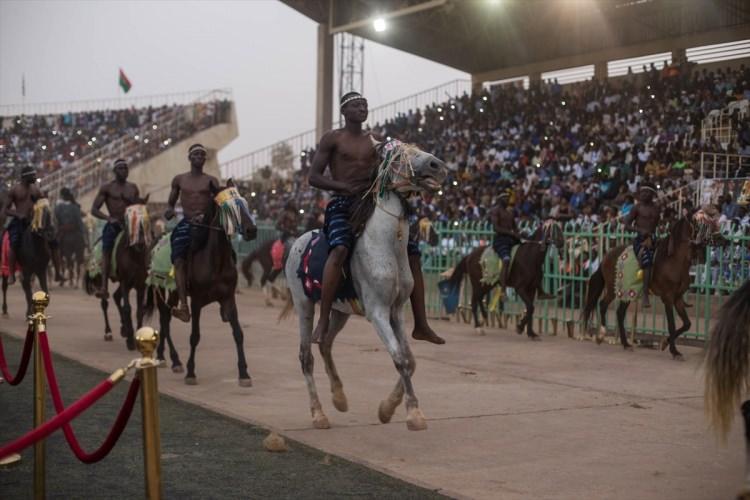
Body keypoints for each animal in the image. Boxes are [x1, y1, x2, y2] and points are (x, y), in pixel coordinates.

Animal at [147, 188, 258, 386]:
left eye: (245, 204)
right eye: (230, 209)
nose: (251, 230)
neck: (215, 261)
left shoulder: (228, 298)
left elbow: (238, 333)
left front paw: (244, 373)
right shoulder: (197, 301)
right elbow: (195, 336)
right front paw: (191, 372)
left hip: (174, 291)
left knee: (165, 317)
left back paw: (167, 358)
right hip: (161, 285)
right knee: (165, 317)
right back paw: (173, 359)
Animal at [280, 140, 446, 430]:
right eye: (399, 156)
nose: (436, 165)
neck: (386, 244)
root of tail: (297, 242)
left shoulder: (396, 311)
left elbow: (410, 360)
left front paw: (388, 409)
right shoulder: (377, 312)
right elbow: (400, 359)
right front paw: (412, 413)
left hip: (339, 311)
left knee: (325, 344)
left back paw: (339, 397)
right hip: (304, 306)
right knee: (306, 356)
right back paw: (318, 413)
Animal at [584, 216, 712, 360]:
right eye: (699, 223)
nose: (709, 242)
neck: (675, 260)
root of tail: (606, 256)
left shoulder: (677, 298)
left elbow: (687, 324)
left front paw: (665, 343)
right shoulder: (668, 298)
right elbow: (672, 325)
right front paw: (674, 351)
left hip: (628, 292)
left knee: (620, 313)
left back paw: (626, 343)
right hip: (613, 289)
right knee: (603, 304)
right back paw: (601, 335)